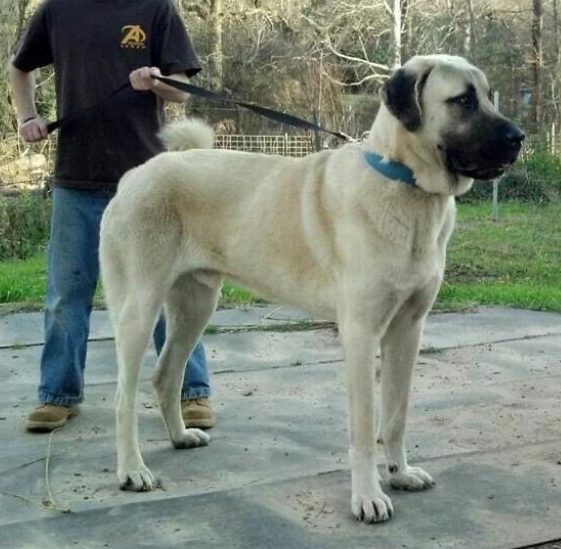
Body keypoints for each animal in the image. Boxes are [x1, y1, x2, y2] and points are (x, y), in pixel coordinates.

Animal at [98, 54, 524, 524]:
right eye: (463, 100)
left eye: (487, 95)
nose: (519, 139)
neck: (404, 183)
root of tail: (135, 176)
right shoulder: (360, 335)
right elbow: (365, 427)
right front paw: (367, 496)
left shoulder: (408, 330)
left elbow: (396, 414)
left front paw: (400, 473)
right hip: (138, 308)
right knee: (123, 395)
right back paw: (132, 470)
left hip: (196, 305)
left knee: (166, 375)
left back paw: (179, 436)